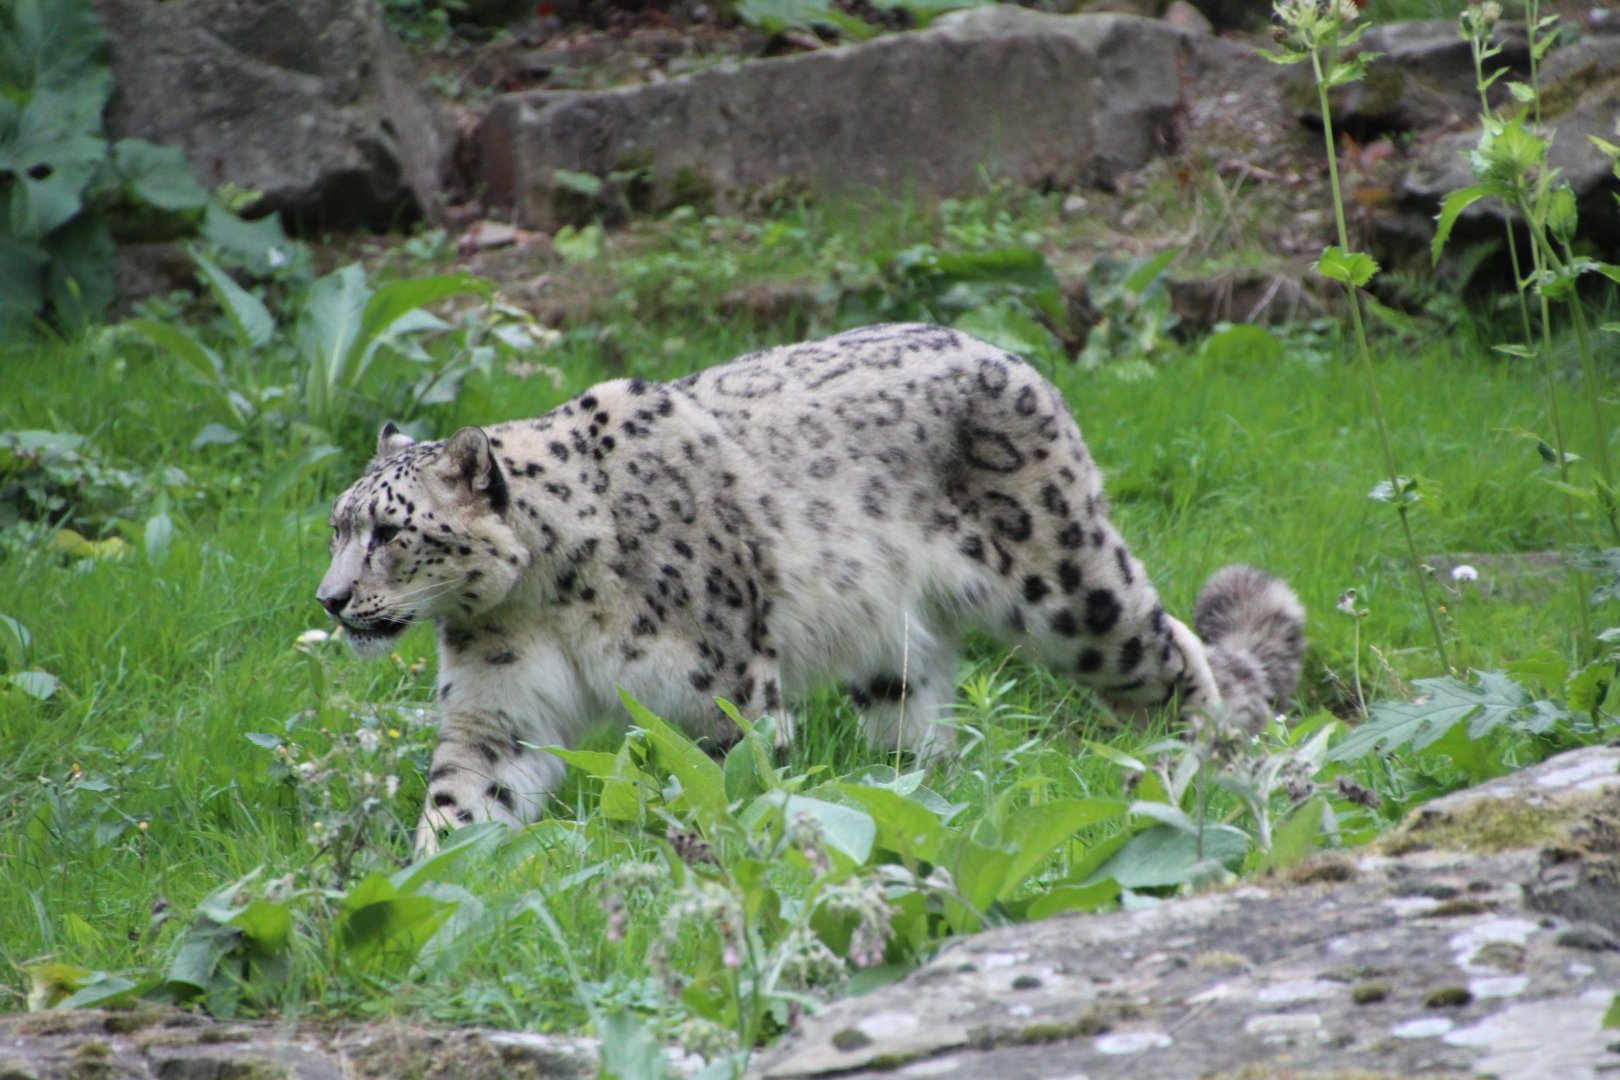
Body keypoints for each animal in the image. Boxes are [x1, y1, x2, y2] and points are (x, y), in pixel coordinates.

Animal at [317, 323, 1306, 854]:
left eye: (391, 532)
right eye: (336, 524)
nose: (329, 601)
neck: (541, 603)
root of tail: (1011, 355)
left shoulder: (722, 688)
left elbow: (732, 786)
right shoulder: (501, 707)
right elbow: (462, 798)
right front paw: (429, 879)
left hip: (1073, 592)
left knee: (1175, 653)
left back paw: (1208, 773)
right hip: (891, 653)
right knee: (922, 734)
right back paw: (916, 796)